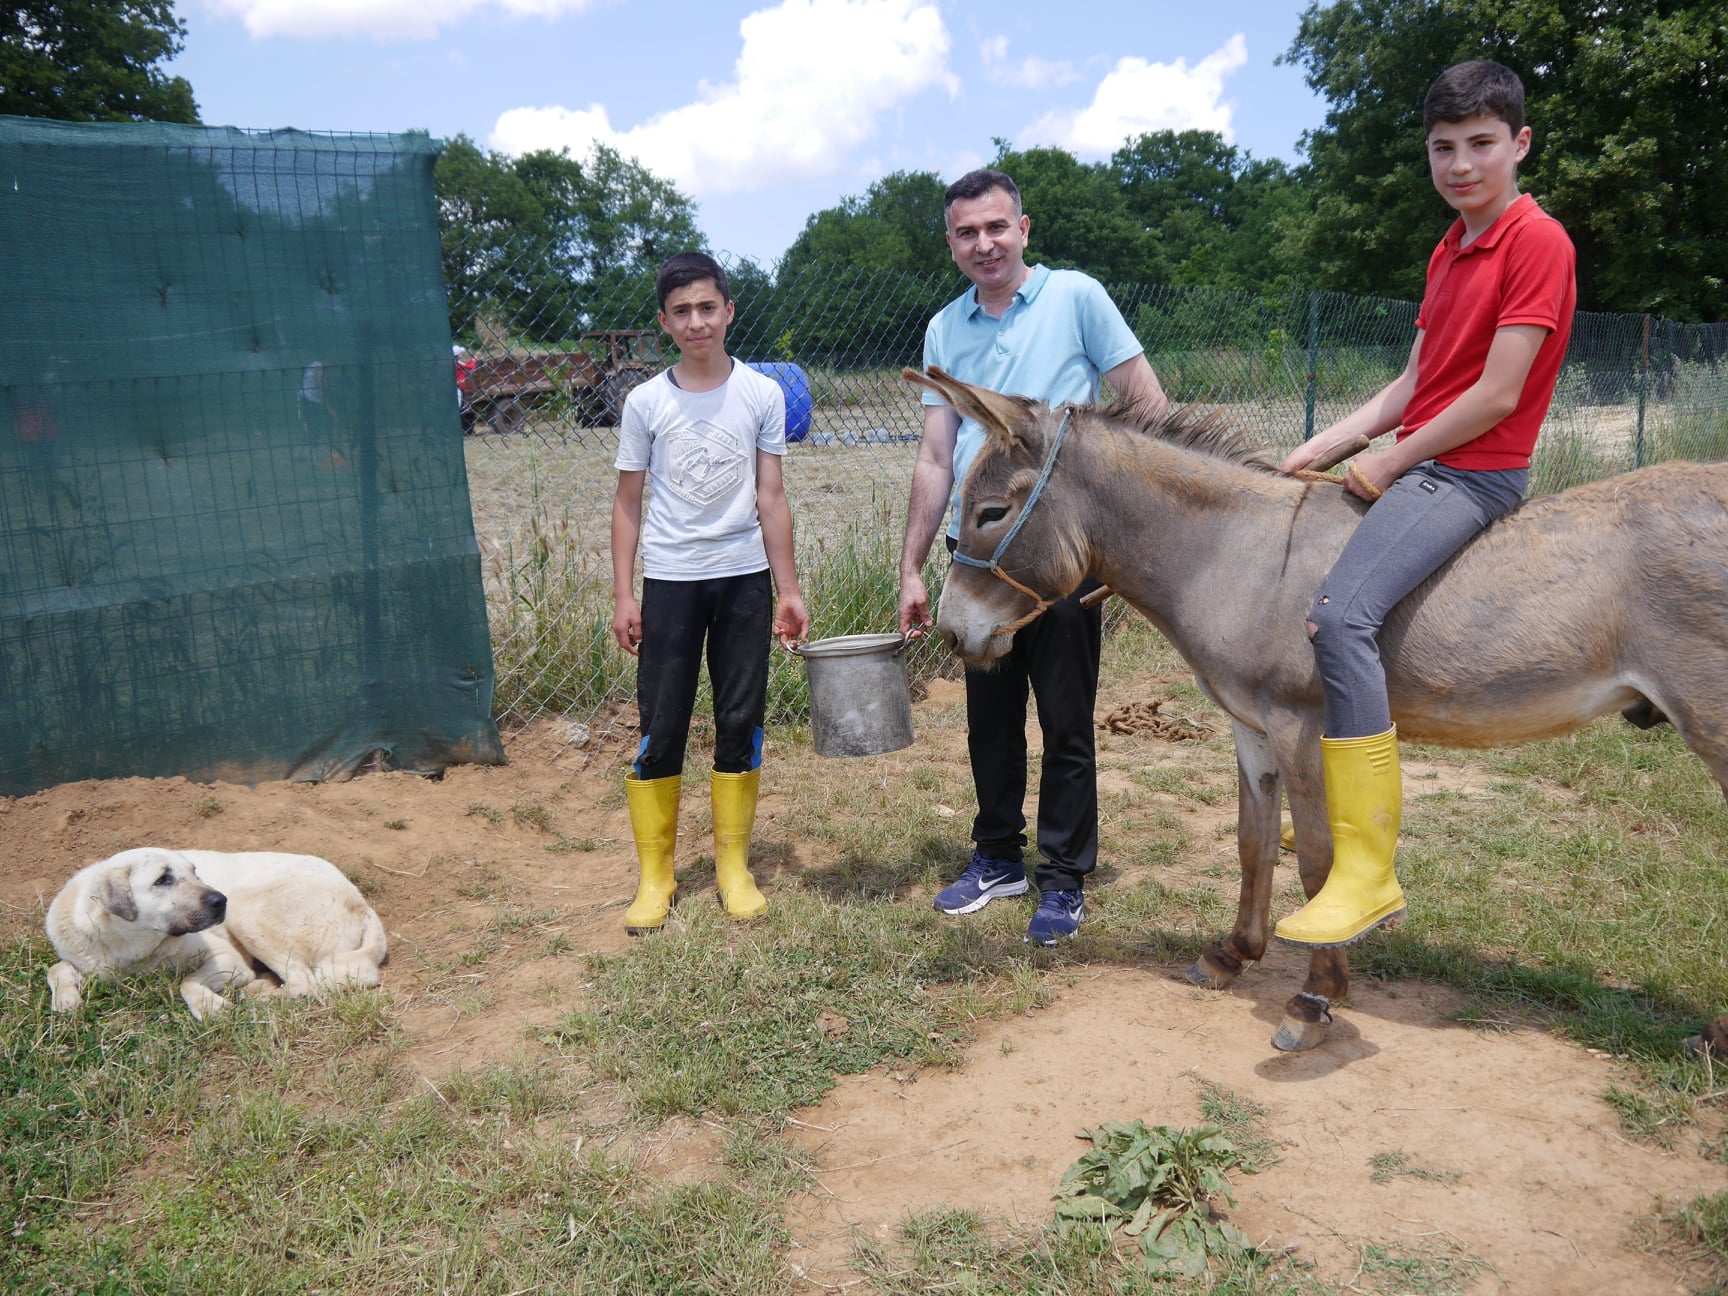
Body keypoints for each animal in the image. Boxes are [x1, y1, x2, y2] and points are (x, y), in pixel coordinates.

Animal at [45, 853, 390, 1022]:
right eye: (163, 879)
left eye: (194, 872)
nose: (219, 899)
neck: (131, 946)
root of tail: (362, 904)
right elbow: (56, 968)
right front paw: (66, 1000)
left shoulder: (229, 959)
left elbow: (185, 982)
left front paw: (210, 1007)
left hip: (245, 907)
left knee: (304, 985)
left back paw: (256, 995)